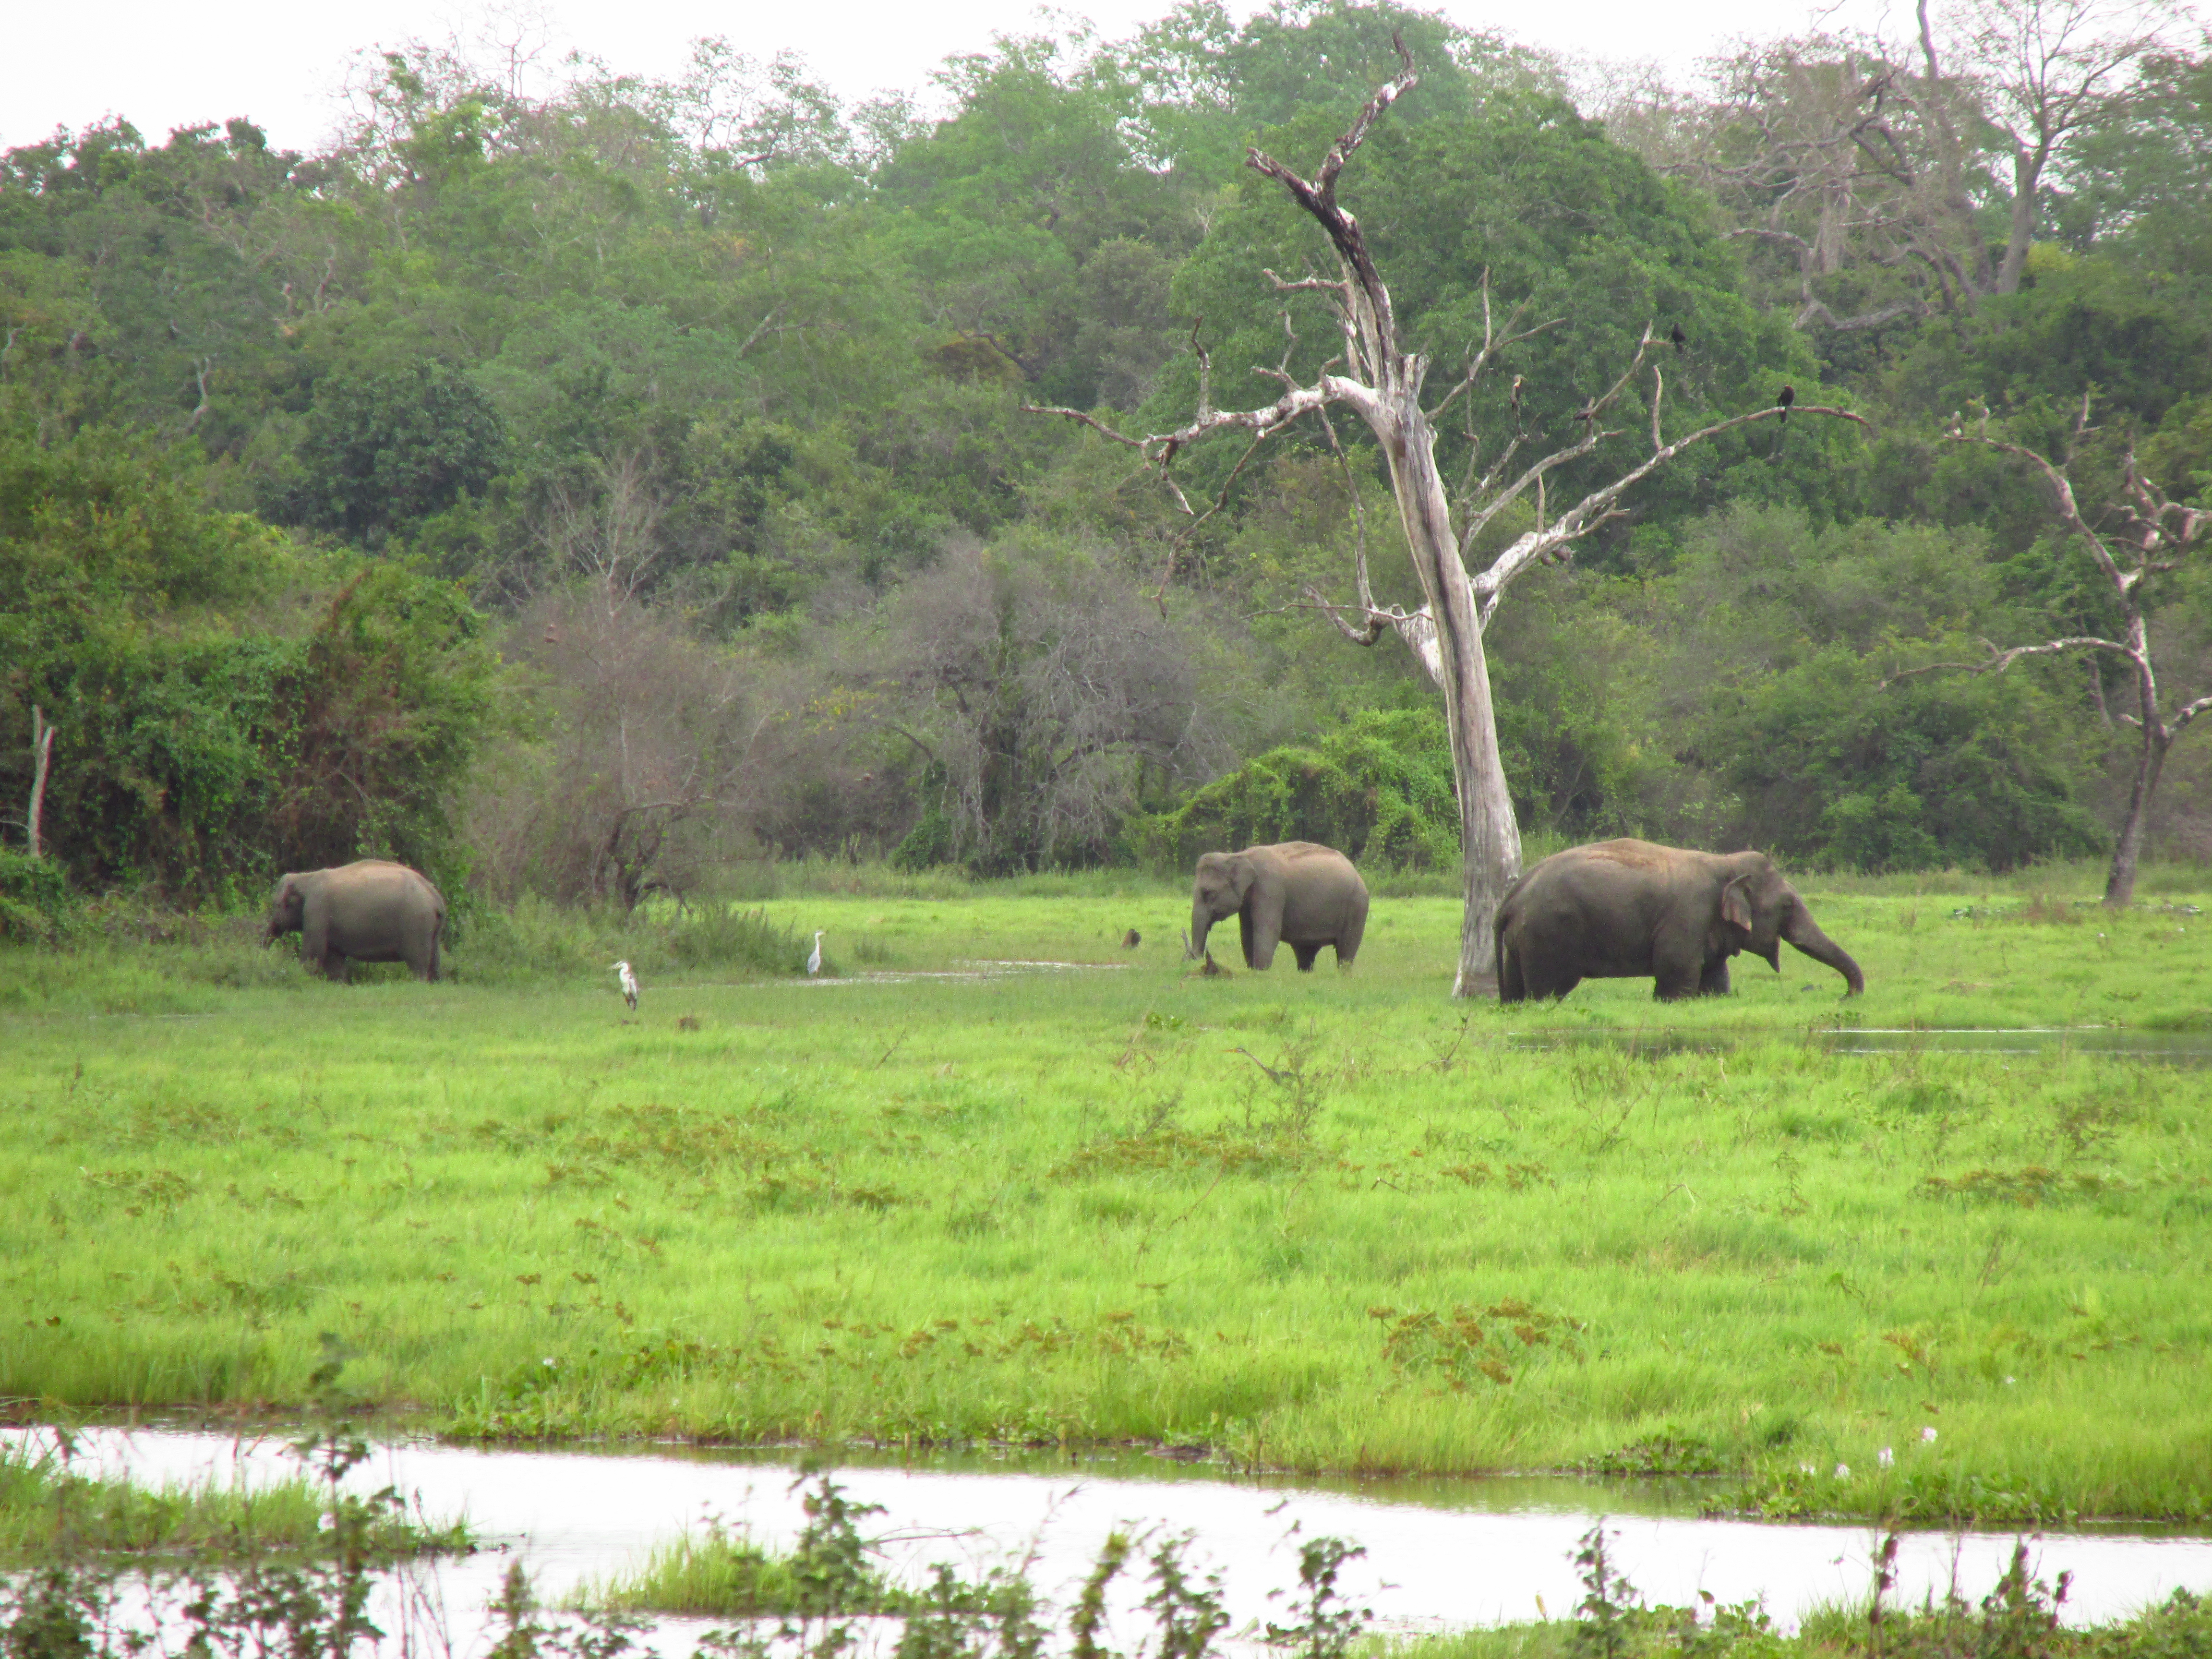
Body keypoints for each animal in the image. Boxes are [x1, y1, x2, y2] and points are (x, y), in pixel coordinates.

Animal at [263, 863, 445, 982]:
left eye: (276, 905)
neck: (306, 877)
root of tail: (435, 896)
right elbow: (334, 958)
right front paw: (338, 984)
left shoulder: (316, 910)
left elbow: (314, 951)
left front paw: (302, 976)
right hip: (430, 928)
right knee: (434, 960)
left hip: (416, 924)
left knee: (417, 962)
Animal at [1194, 845, 1362, 973]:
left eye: (1208, 893)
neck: (1240, 855)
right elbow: (1247, 933)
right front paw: (1252, 970)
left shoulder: (1270, 890)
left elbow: (1268, 930)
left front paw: (1261, 973)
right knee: (1306, 952)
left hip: (1356, 906)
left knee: (1347, 949)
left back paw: (1343, 975)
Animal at [1486, 836, 1867, 1009]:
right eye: (1787, 905)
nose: (1844, 997)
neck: (1723, 863)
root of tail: (1511, 897)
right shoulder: (1688, 919)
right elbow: (1675, 974)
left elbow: (1715, 980)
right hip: (1547, 936)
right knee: (1547, 991)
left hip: (1521, 941)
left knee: (1518, 989)